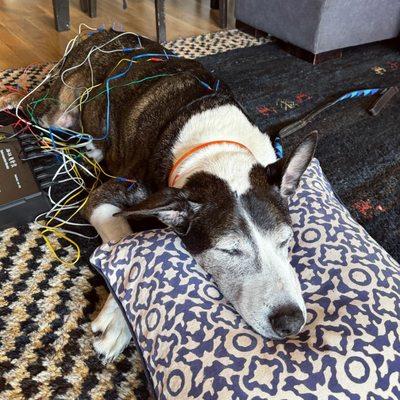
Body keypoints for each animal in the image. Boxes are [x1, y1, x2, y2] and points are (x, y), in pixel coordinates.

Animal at [21, 32, 318, 362]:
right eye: (229, 250)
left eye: (285, 240)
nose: (291, 322)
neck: (215, 149)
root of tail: (101, 33)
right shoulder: (106, 197)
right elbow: (124, 243)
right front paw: (117, 320)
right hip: (57, 109)